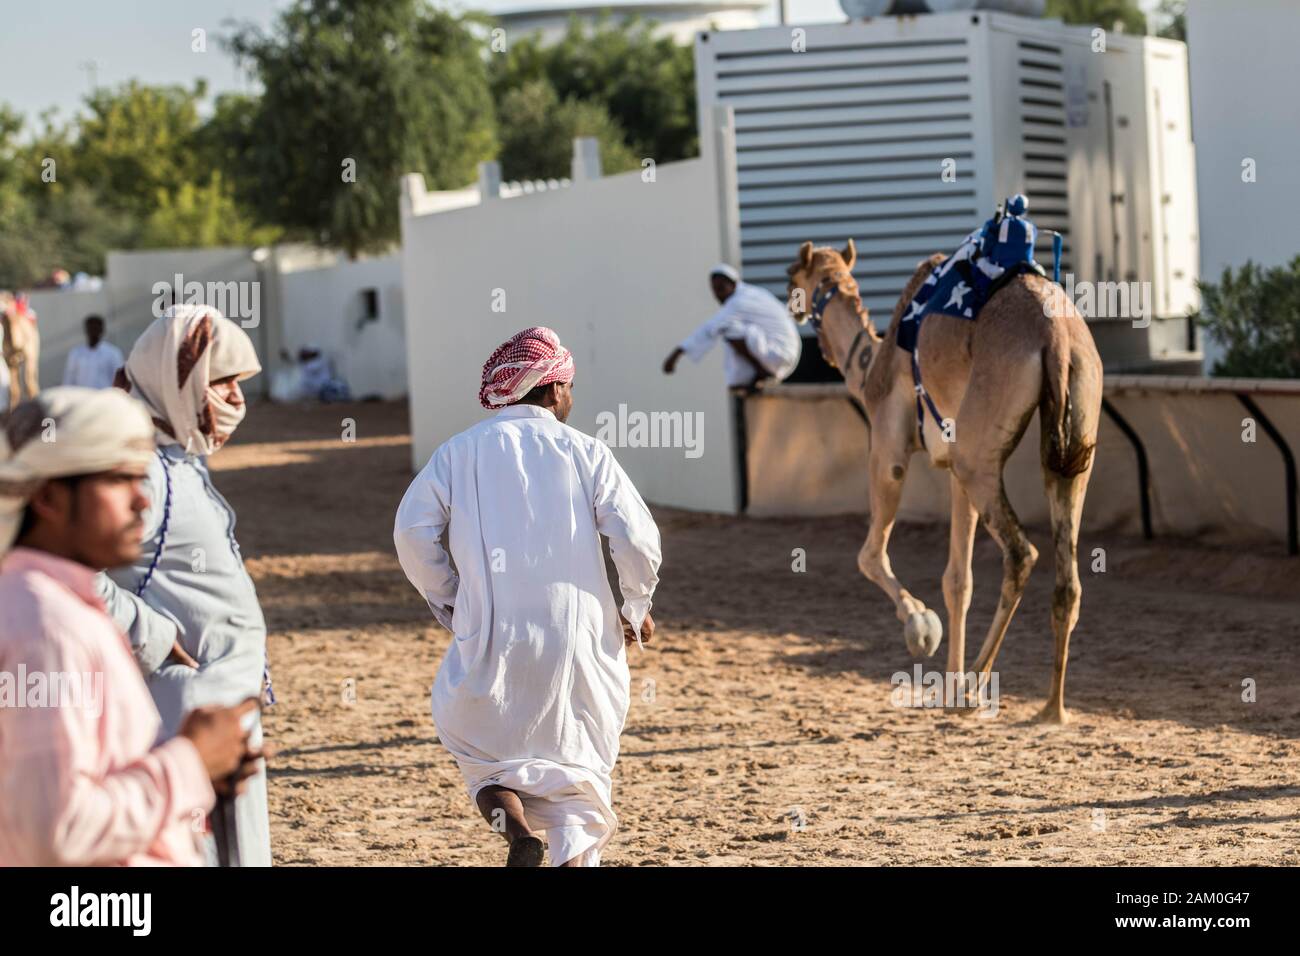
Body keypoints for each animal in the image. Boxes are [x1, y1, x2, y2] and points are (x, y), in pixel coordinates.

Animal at [785, 240, 1102, 723]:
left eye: (791, 277)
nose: (790, 308)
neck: (869, 366)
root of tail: (1058, 340)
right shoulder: (952, 469)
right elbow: (958, 580)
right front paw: (946, 681)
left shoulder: (889, 452)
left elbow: (869, 555)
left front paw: (922, 630)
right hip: (1070, 445)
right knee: (1069, 577)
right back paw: (1051, 708)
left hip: (978, 460)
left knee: (1022, 553)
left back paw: (975, 686)